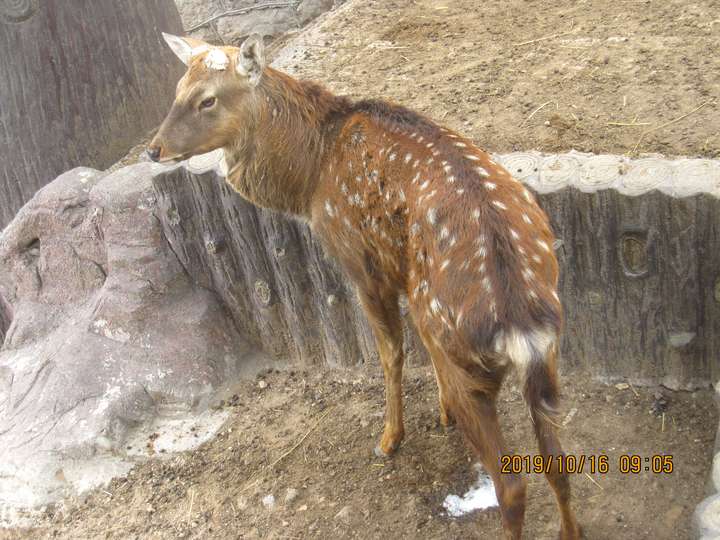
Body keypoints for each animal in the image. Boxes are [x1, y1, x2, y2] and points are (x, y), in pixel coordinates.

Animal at [149, 33, 584, 540]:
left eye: (208, 99)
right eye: (177, 89)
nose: (153, 150)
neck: (311, 176)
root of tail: (519, 320)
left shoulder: (361, 262)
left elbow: (391, 352)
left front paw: (389, 438)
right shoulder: (407, 274)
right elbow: (418, 344)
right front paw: (441, 413)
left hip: (469, 360)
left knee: (511, 484)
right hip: (543, 353)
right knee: (559, 464)